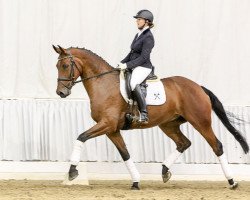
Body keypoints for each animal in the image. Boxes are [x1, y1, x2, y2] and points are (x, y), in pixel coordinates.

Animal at [52, 45, 248, 191]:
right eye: (57, 66)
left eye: (65, 66)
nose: (61, 93)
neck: (104, 84)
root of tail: (198, 87)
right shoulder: (112, 129)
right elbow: (125, 154)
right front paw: (136, 181)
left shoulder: (107, 124)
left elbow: (81, 137)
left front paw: (72, 171)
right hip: (168, 124)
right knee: (183, 143)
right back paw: (164, 171)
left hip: (201, 122)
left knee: (217, 146)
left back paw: (232, 181)